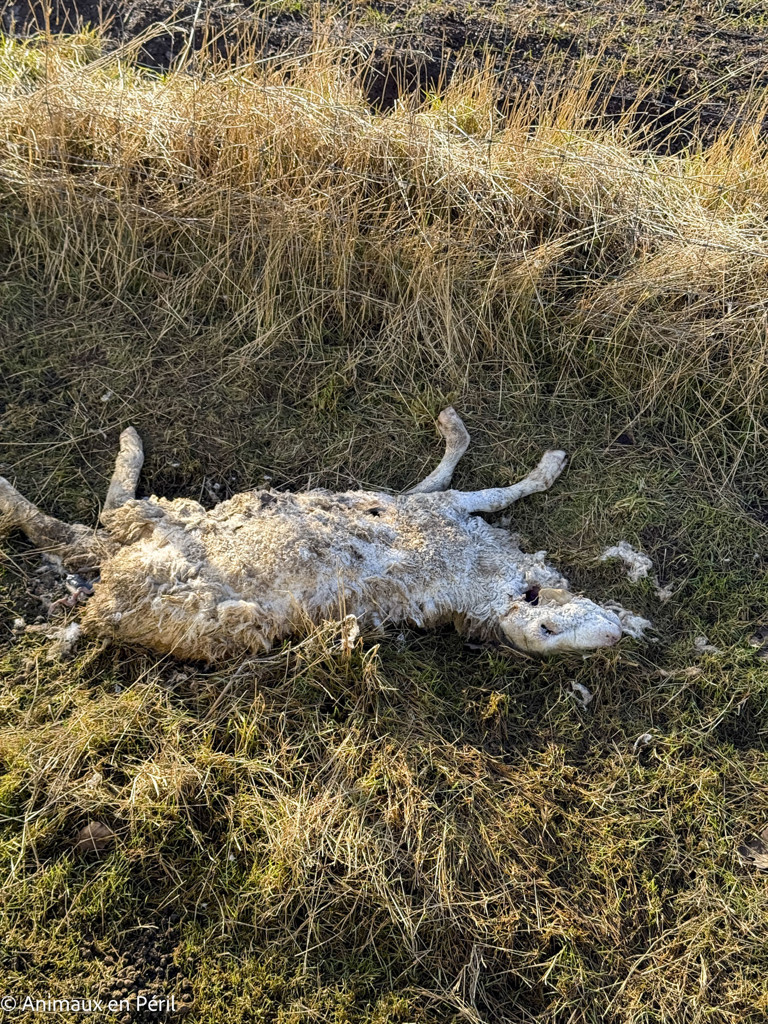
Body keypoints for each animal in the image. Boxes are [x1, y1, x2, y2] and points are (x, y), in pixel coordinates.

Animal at [0, 409, 643, 662]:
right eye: (550, 629)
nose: (614, 638)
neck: (477, 581)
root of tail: (107, 596)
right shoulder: (435, 508)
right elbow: (484, 484)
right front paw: (539, 460)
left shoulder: (435, 513)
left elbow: (474, 484)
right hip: (169, 531)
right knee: (93, 520)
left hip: (157, 554)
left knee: (80, 530)